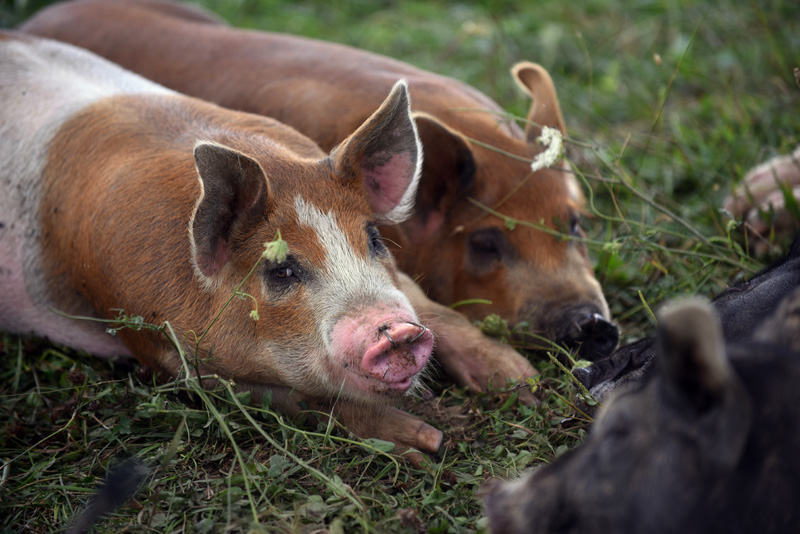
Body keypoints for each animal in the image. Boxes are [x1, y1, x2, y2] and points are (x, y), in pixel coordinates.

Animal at [0, 32, 444, 460]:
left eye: (373, 239)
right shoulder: (154, 344)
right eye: (281, 270)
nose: (398, 331)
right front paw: (428, 444)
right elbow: (301, 398)